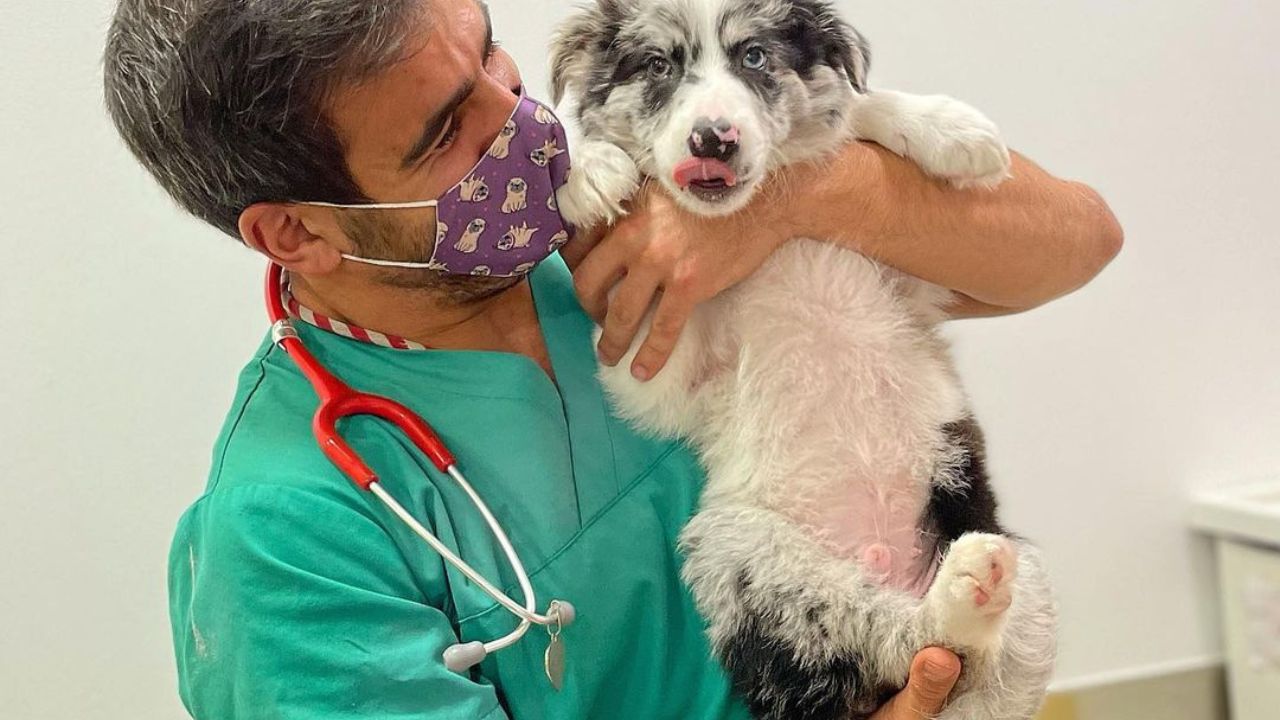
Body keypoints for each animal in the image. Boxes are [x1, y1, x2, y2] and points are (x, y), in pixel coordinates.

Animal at [550, 2, 1059, 712]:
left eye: (755, 57)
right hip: (741, 554)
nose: (714, 140)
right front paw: (587, 167)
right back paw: (960, 594)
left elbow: (853, 108)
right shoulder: (651, 366)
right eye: (656, 65)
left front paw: (951, 129)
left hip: (1029, 588)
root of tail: (889, 568)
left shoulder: (916, 282)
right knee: (899, 640)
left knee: (971, 669)